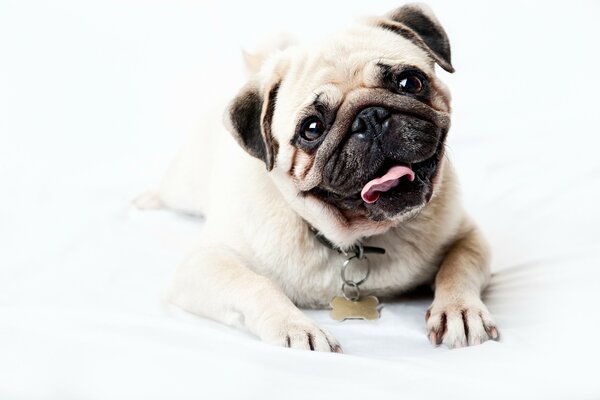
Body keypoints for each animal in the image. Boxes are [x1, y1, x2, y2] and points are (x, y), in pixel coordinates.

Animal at [154, 3, 496, 354]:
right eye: (312, 129)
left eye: (409, 83)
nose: (370, 117)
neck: (357, 240)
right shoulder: (205, 265)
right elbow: (255, 284)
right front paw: (298, 328)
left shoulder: (466, 234)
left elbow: (460, 264)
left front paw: (459, 310)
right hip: (182, 186)